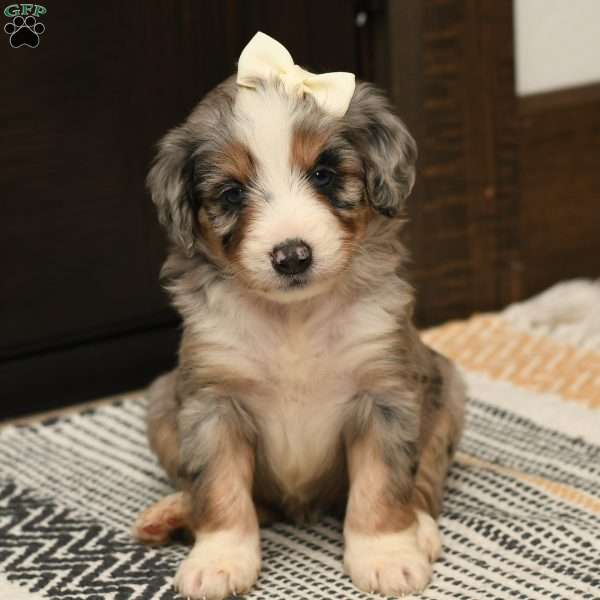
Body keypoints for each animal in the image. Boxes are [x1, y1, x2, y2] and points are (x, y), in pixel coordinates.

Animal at [134, 32, 466, 600]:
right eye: (231, 193)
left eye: (324, 174)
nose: (291, 256)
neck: (295, 320)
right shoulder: (213, 403)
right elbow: (220, 489)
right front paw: (220, 558)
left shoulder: (384, 393)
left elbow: (382, 484)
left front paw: (386, 554)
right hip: (162, 403)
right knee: (245, 501)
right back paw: (172, 513)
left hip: (447, 391)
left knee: (422, 480)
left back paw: (419, 528)